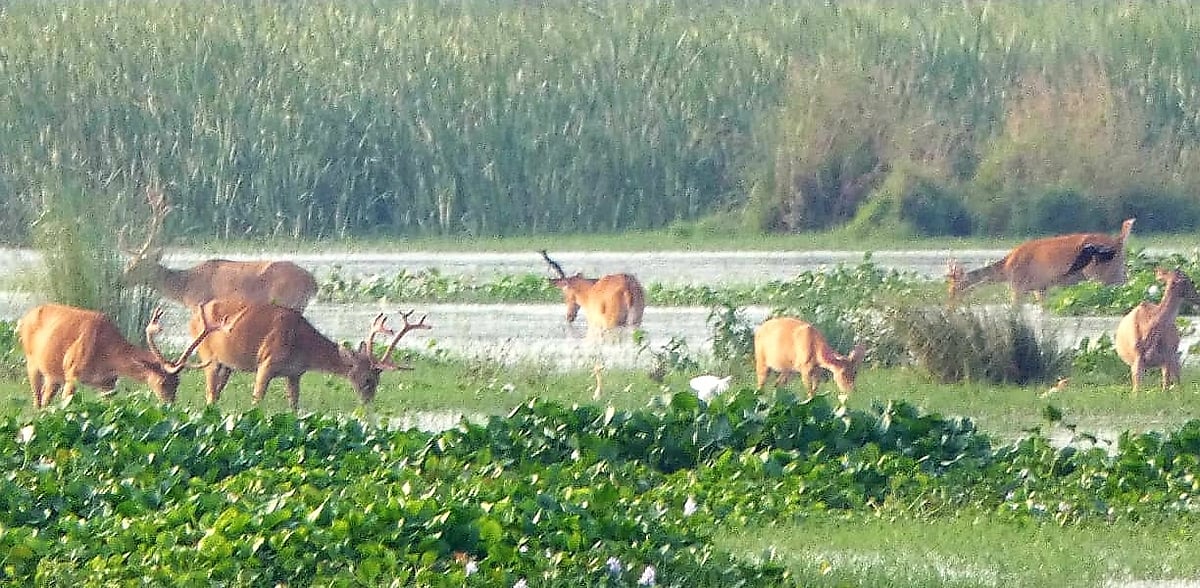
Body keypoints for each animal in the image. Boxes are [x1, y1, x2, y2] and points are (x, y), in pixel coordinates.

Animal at [17, 303, 227, 408]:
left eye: (178, 382)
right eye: (162, 382)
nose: (170, 405)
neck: (106, 354)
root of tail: (24, 317)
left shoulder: (108, 383)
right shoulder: (72, 373)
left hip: (53, 375)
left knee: (45, 400)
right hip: (31, 362)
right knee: (37, 400)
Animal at [121, 186, 318, 311]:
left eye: (138, 265)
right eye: (129, 263)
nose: (119, 280)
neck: (186, 287)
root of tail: (312, 282)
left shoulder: (199, 304)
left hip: (286, 300)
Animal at [189, 299, 431, 411]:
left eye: (378, 380)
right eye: (367, 379)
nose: (368, 403)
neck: (303, 346)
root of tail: (193, 318)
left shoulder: (295, 373)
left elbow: (294, 405)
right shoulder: (266, 363)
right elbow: (257, 400)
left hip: (226, 365)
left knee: (215, 393)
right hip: (207, 356)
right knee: (210, 394)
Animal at [947, 218, 1135, 305]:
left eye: (956, 285)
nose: (950, 304)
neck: (1005, 270)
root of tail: (1119, 241)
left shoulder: (1018, 286)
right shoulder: (1041, 288)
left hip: (1099, 275)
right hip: (1118, 271)